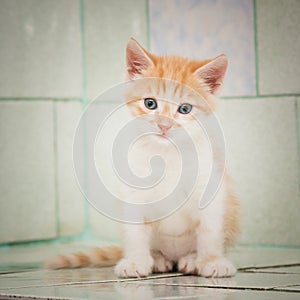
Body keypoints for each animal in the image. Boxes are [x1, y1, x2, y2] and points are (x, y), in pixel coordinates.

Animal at [46, 38, 239, 278]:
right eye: (150, 103)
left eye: (185, 108)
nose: (164, 125)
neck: (166, 155)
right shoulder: (133, 194)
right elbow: (135, 232)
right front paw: (136, 261)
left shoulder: (210, 185)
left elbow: (209, 229)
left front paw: (212, 260)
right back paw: (158, 258)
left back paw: (191, 259)